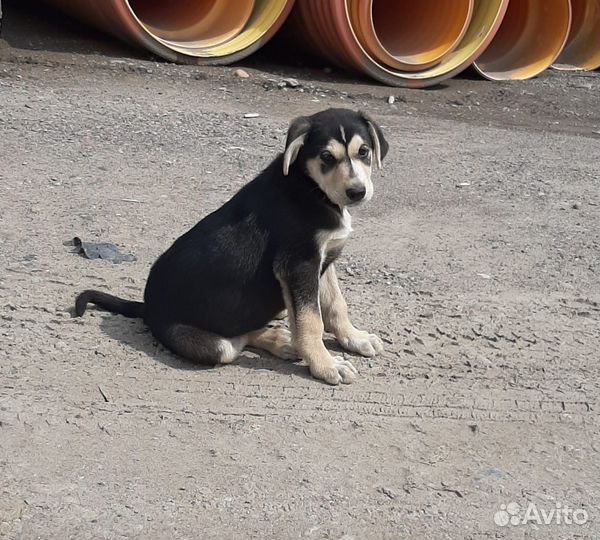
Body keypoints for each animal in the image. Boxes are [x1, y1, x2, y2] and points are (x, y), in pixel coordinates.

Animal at [76, 107, 390, 384]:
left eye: (364, 151)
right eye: (326, 156)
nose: (357, 192)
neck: (310, 187)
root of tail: (147, 307)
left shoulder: (322, 261)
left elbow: (336, 305)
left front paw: (355, 338)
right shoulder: (298, 265)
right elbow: (311, 321)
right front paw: (326, 365)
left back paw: (279, 338)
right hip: (211, 346)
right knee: (233, 341)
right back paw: (281, 341)